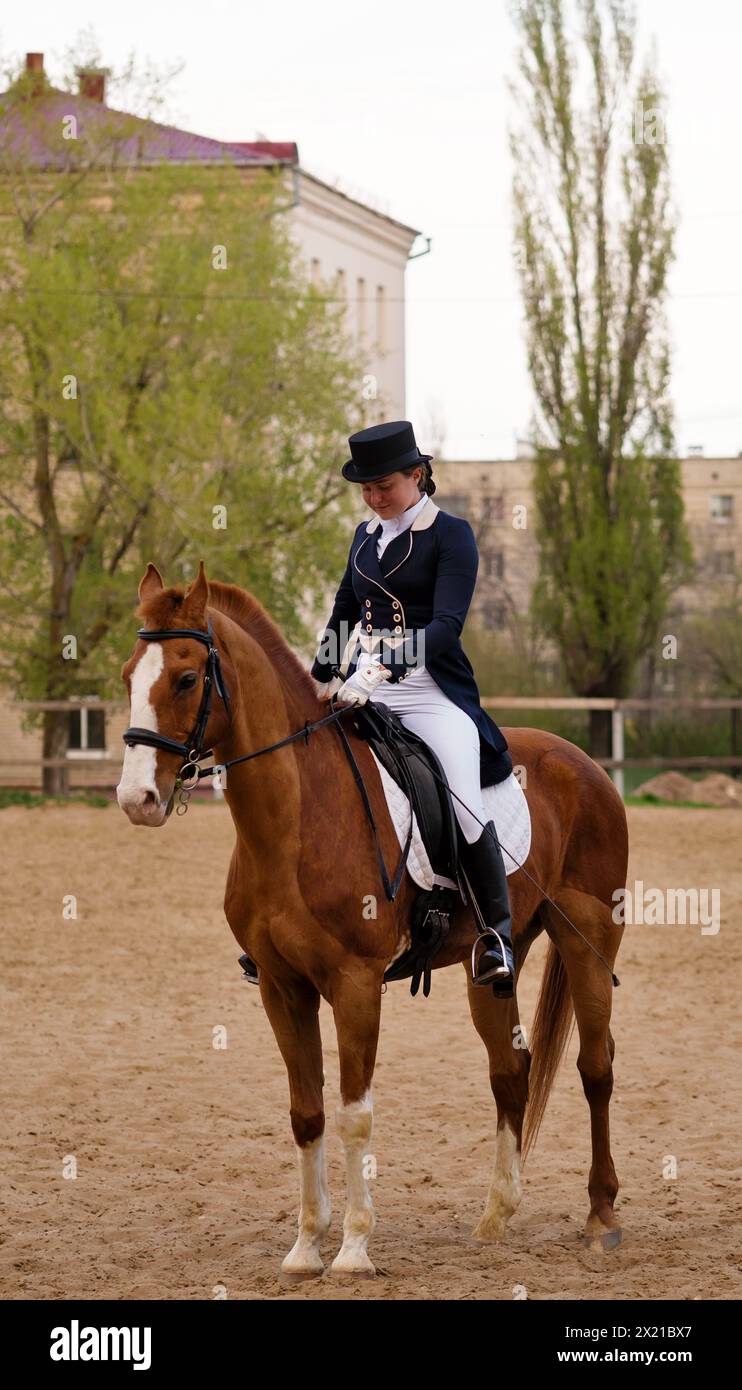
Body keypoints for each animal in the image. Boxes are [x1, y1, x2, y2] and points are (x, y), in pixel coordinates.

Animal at [119, 558, 630, 1273]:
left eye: (187, 678)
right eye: (127, 676)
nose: (136, 798)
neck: (297, 815)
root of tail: (586, 764)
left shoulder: (355, 984)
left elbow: (354, 1113)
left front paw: (355, 1247)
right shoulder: (282, 987)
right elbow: (307, 1112)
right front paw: (306, 1245)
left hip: (591, 941)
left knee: (595, 1066)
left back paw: (601, 1216)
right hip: (494, 964)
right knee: (511, 1070)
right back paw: (495, 1217)